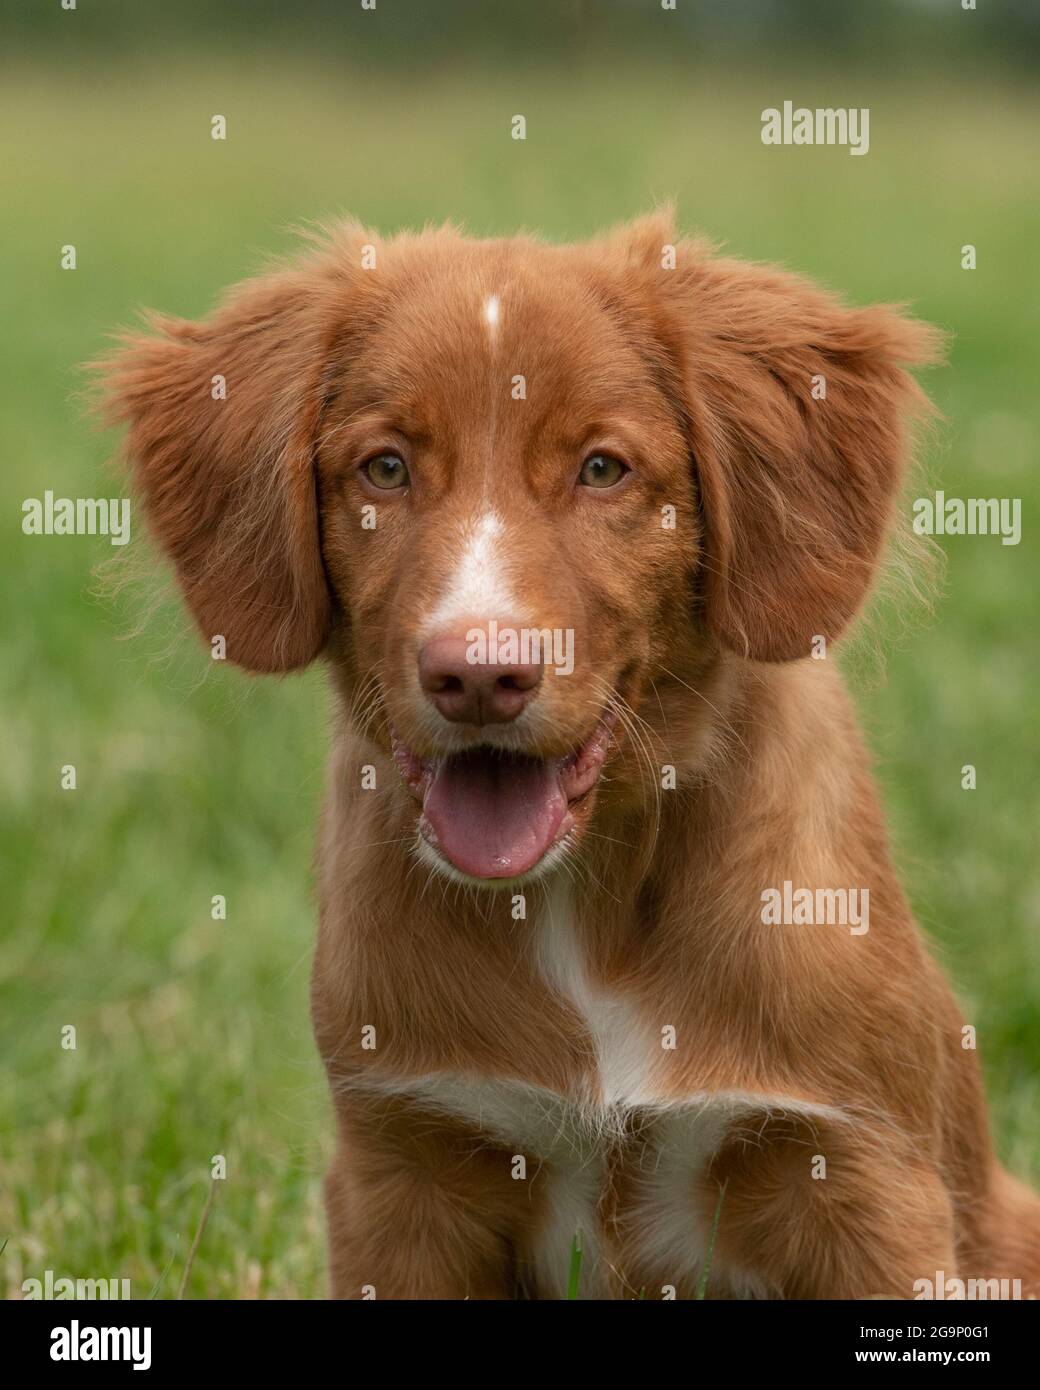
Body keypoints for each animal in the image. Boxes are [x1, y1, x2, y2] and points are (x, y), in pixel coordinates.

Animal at [99, 211, 1040, 1295]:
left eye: (601, 468)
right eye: (385, 468)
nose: (477, 674)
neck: (580, 897)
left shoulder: (861, 1178)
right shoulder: (401, 1173)